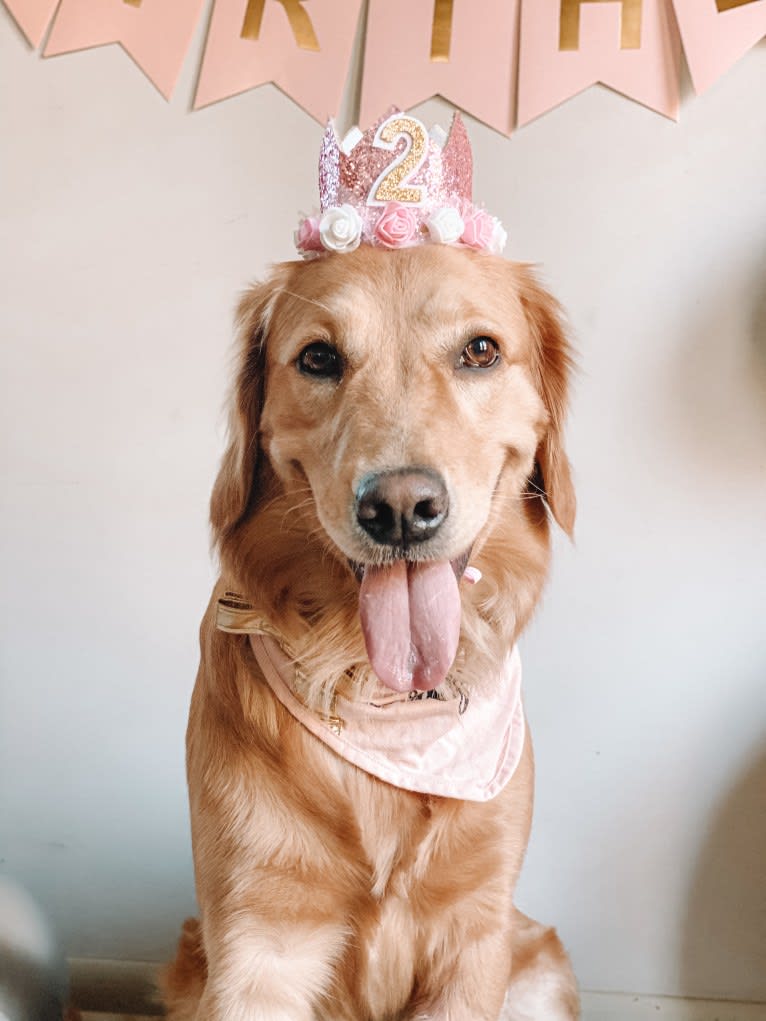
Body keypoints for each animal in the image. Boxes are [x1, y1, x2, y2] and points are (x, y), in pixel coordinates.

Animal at [163, 233, 580, 1021]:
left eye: (480, 350)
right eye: (319, 357)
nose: (399, 508)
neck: (387, 700)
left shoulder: (476, 931)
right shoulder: (256, 944)